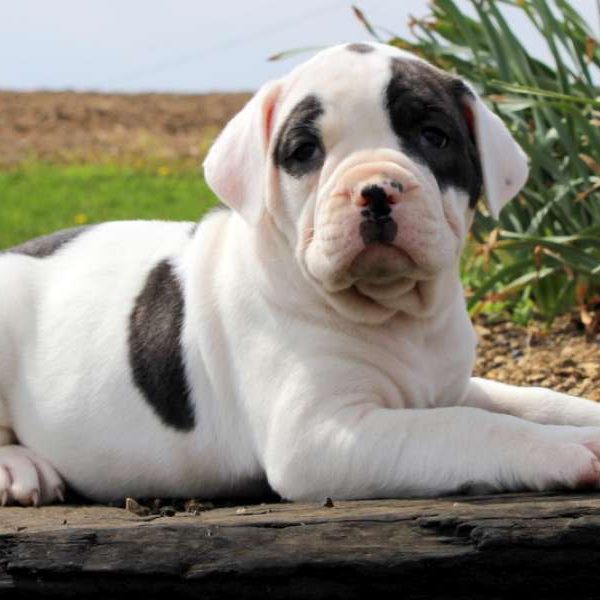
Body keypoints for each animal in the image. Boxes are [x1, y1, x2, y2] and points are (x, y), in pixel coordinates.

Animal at [1, 41, 600, 506]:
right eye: (305, 151)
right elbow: (470, 426)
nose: (375, 189)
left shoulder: (451, 386)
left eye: (434, 137)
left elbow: (532, 401)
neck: (397, 313)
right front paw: (565, 448)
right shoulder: (322, 435)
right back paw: (21, 470)